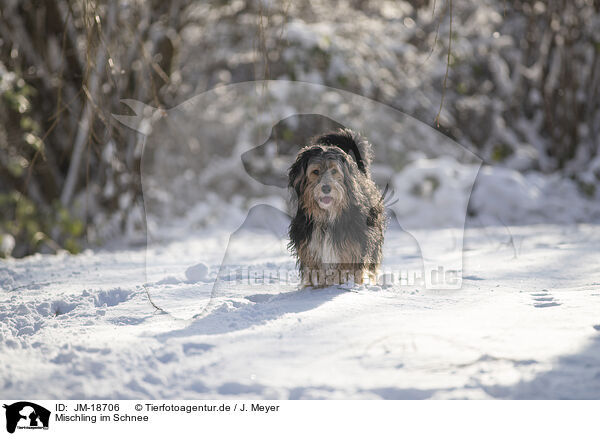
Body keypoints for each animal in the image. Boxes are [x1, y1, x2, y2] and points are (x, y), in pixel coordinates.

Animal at [288, 127, 386, 288]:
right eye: (315, 172)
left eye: (334, 171)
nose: (326, 188)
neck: (327, 216)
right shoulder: (309, 246)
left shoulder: (353, 246)